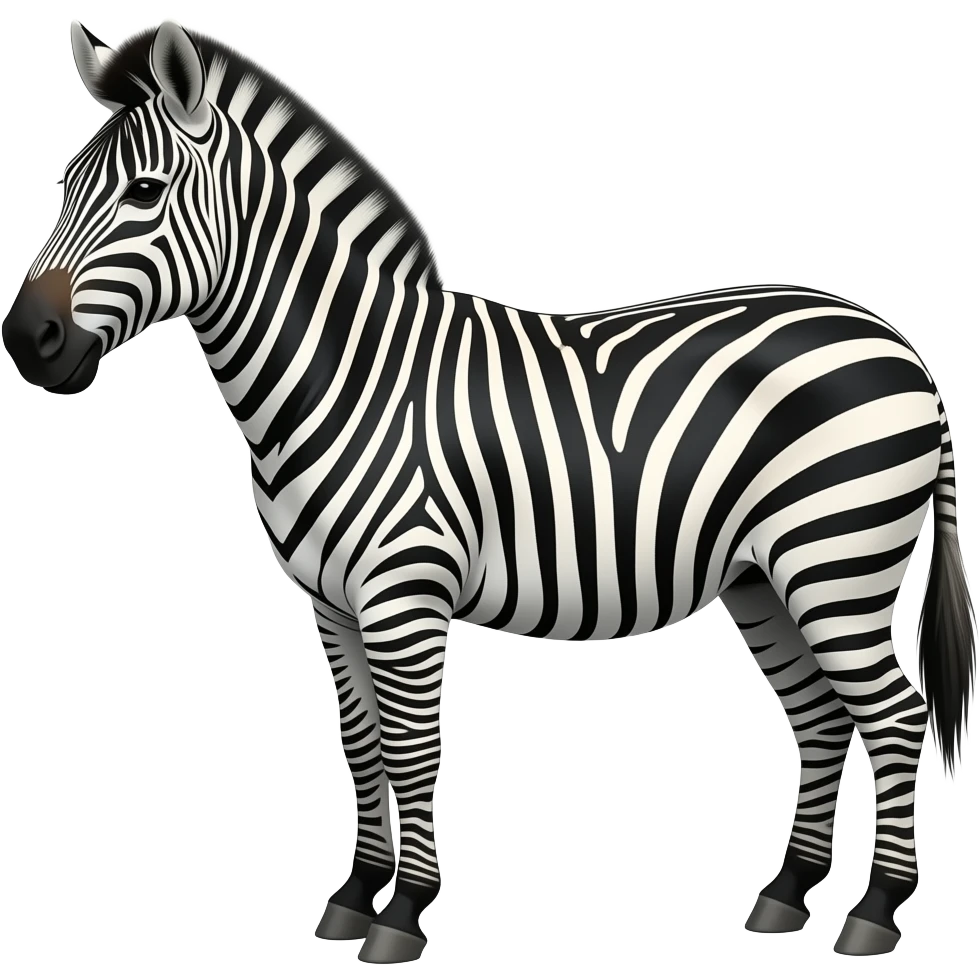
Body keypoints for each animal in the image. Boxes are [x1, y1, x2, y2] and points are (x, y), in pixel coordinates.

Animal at [1, 19, 974, 965]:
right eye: (61, 188)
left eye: (145, 192)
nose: (27, 341)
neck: (346, 376)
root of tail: (903, 346)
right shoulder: (330, 602)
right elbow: (363, 746)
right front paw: (353, 896)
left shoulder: (405, 593)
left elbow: (411, 745)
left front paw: (402, 914)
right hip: (762, 577)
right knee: (820, 719)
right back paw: (783, 897)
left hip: (835, 562)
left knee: (896, 715)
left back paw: (875, 914)